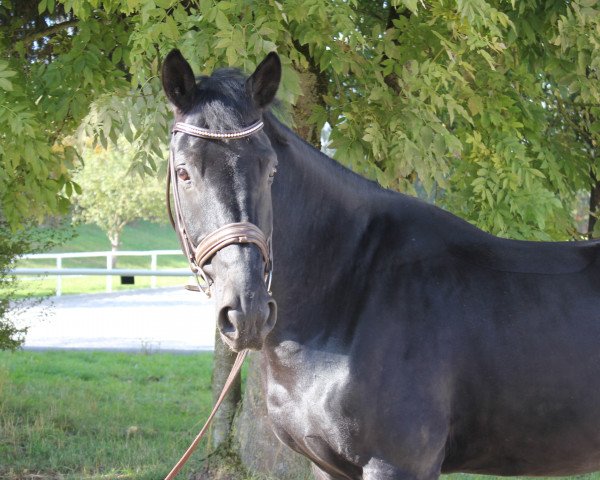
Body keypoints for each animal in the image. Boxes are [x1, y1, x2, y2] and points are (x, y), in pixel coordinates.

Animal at [162, 50, 600, 478]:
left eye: (270, 170)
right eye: (183, 172)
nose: (247, 310)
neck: (349, 290)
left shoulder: (398, 463)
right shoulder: (329, 466)